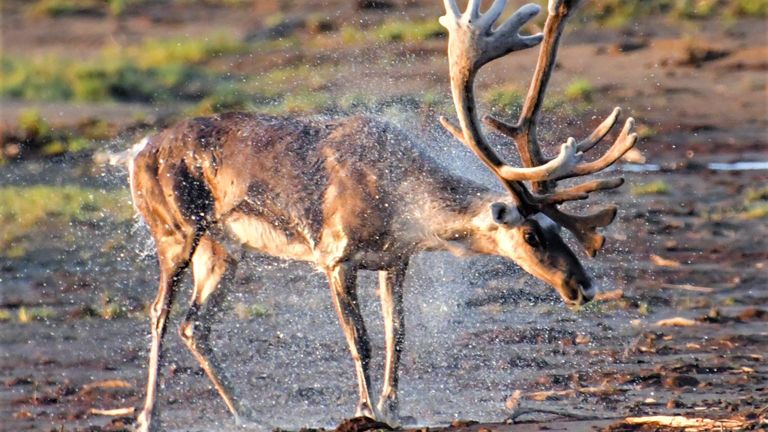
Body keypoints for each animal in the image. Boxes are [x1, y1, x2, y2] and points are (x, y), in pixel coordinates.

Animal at [125, 0, 638, 430]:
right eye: (531, 235)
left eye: (558, 229)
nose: (584, 286)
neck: (403, 207)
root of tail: (138, 151)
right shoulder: (335, 257)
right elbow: (361, 338)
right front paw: (365, 409)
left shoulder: (395, 259)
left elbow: (398, 334)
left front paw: (394, 407)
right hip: (175, 232)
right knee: (159, 313)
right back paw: (148, 415)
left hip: (224, 250)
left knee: (195, 324)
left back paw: (247, 414)